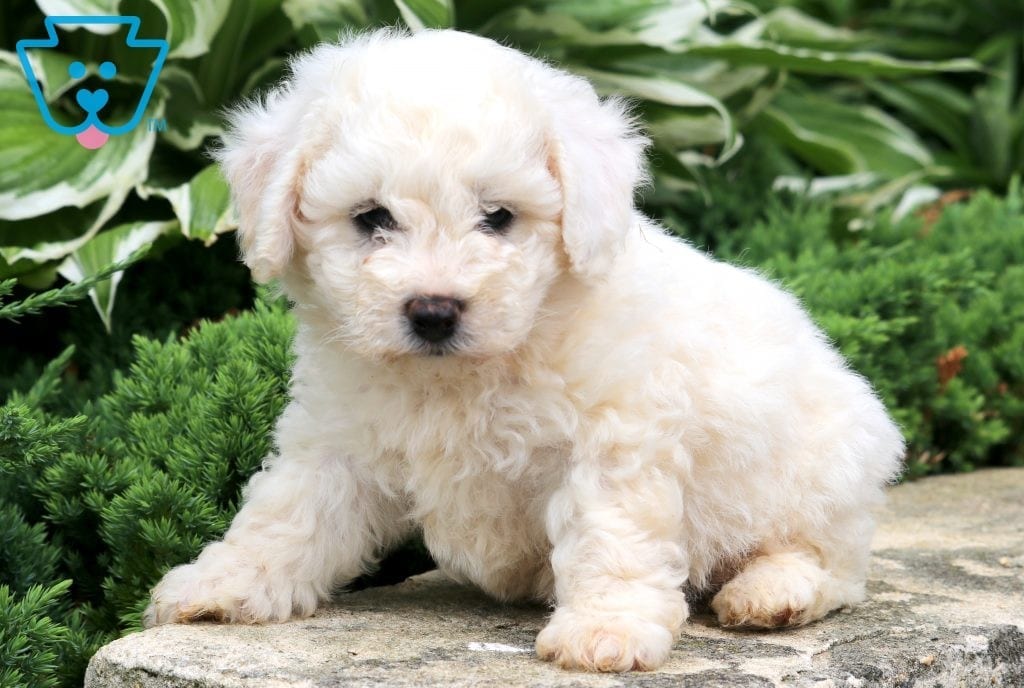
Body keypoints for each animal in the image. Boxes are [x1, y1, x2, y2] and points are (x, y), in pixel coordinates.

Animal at [144, 28, 905, 671]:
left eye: (498, 216)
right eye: (371, 218)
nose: (433, 311)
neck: (458, 374)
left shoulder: (614, 440)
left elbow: (609, 535)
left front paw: (605, 629)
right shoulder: (335, 437)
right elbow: (286, 514)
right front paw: (219, 583)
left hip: (822, 469)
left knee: (832, 563)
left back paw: (771, 591)